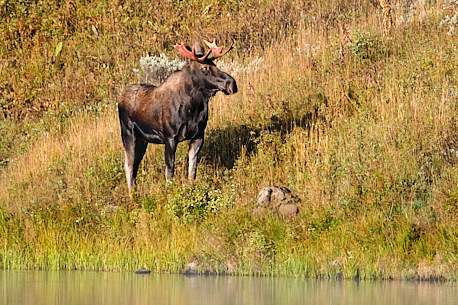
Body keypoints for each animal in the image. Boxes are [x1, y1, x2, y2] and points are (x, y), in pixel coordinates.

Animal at [118, 39, 236, 191]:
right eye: (205, 68)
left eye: (215, 65)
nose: (232, 83)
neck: (193, 107)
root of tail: (120, 97)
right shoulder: (170, 137)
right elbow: (170, 170)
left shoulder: (199, 136)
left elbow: (192, 168)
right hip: (128, 133)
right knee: (128, 165)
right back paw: (132, 193)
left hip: (142, 139)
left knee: (135, 165)